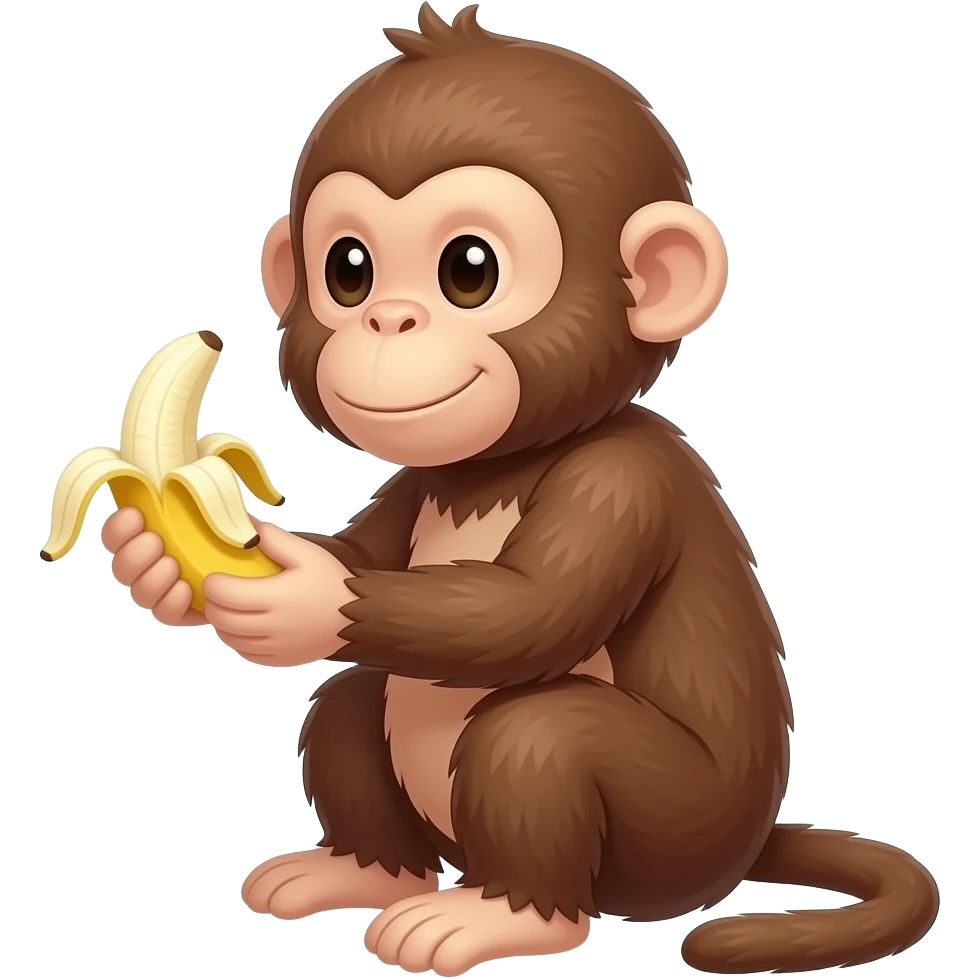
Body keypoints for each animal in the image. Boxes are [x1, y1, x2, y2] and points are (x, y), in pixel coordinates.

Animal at [99, 5, 941, 975]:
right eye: (347, 268)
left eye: (470, 269)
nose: (387, 319)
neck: (499, 463)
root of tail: (743, 848)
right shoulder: (421, 481)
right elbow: (365, 551)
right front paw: (153, 561)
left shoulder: (623, 484)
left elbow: (530, 609)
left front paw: (306, 597)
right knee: (350, 701)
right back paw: (359, 870)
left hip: (670, 838)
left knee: (536, 736)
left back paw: (498, 915)